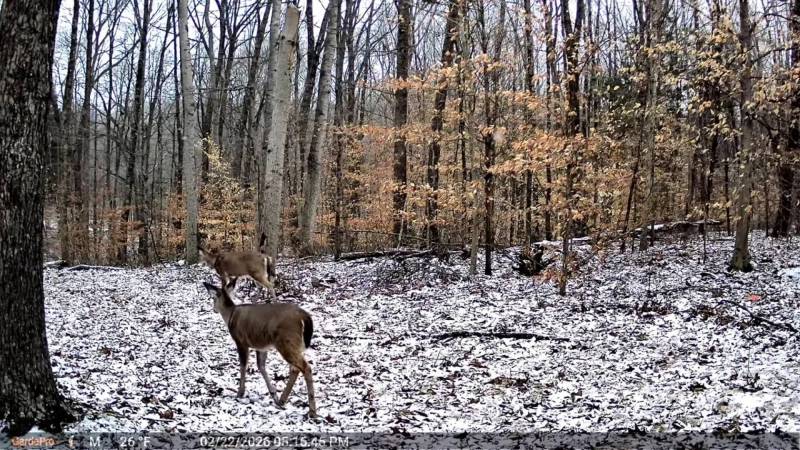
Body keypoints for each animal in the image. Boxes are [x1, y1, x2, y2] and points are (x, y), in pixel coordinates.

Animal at [203, 281, 318, 418]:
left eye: (213, 298)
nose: (214, 309)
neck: (230, 315)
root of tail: (304, 316)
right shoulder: (261, 346)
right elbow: (261, 366)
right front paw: (273, 393)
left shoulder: (241, 341)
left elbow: (243, 366)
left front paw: (240, 393)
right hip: (294, 344)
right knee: (295, 369)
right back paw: (282, 400)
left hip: (286, 341)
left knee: (305, 367)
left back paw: (312, 411)